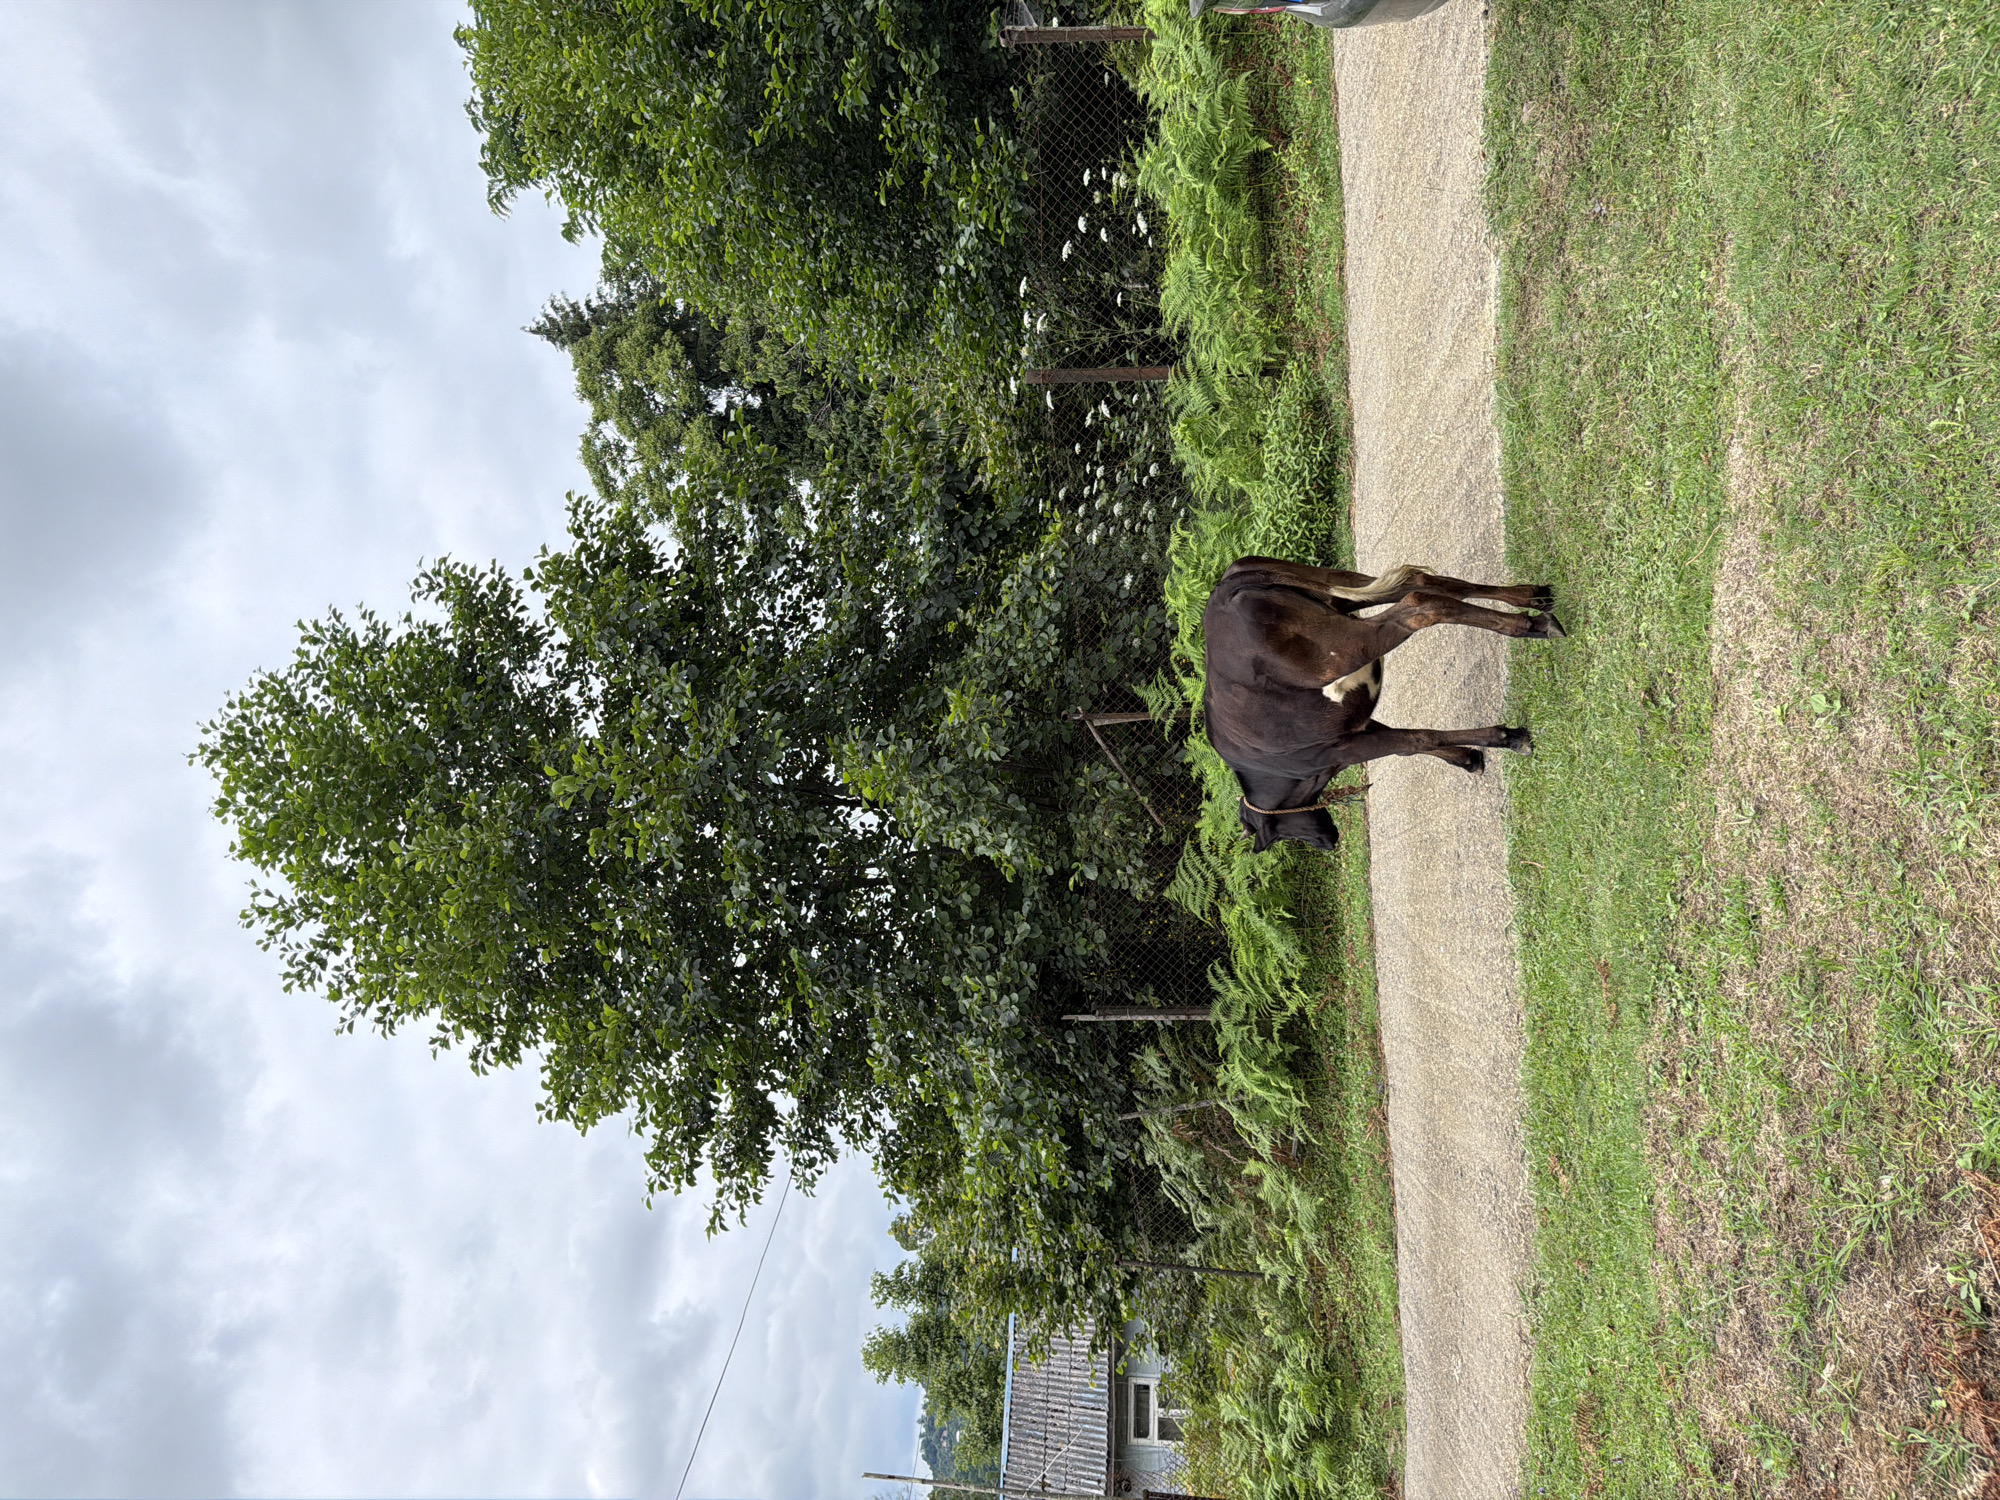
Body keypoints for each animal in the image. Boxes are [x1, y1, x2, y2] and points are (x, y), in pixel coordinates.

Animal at [1202, 556, 1565, 853]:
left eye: (1278, 836)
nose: (1328, 842)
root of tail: (1224, 590)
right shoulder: (1354, 724)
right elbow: (1415, 745)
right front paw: (1468, 757)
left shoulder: (1341, 749)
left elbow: (1415, 741)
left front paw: (1504, 738)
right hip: (1342, 584)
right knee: (1424, 583)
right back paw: (1532, 597)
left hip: (1346, 646)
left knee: (1419, 605)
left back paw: (1531, 625)